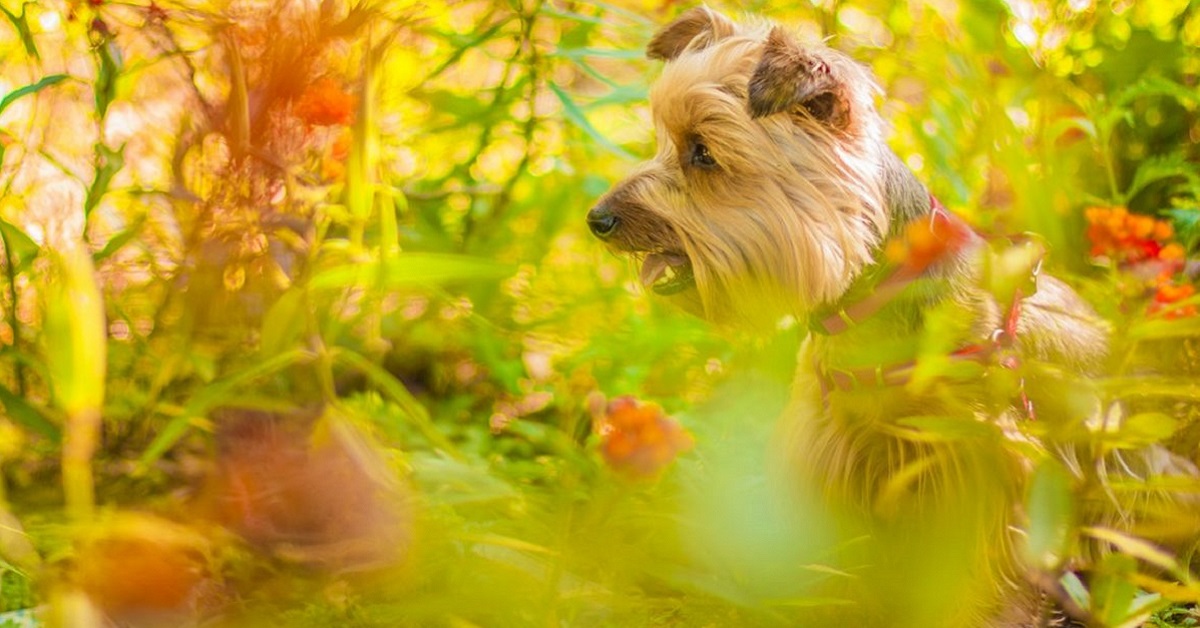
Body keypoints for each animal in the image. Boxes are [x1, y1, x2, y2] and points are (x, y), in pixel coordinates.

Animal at [585, 7, 1195, 624]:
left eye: (703, 152)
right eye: (665, 141)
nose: (598, 219)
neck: (866, 306)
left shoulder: (985, 469)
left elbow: (979, 571)